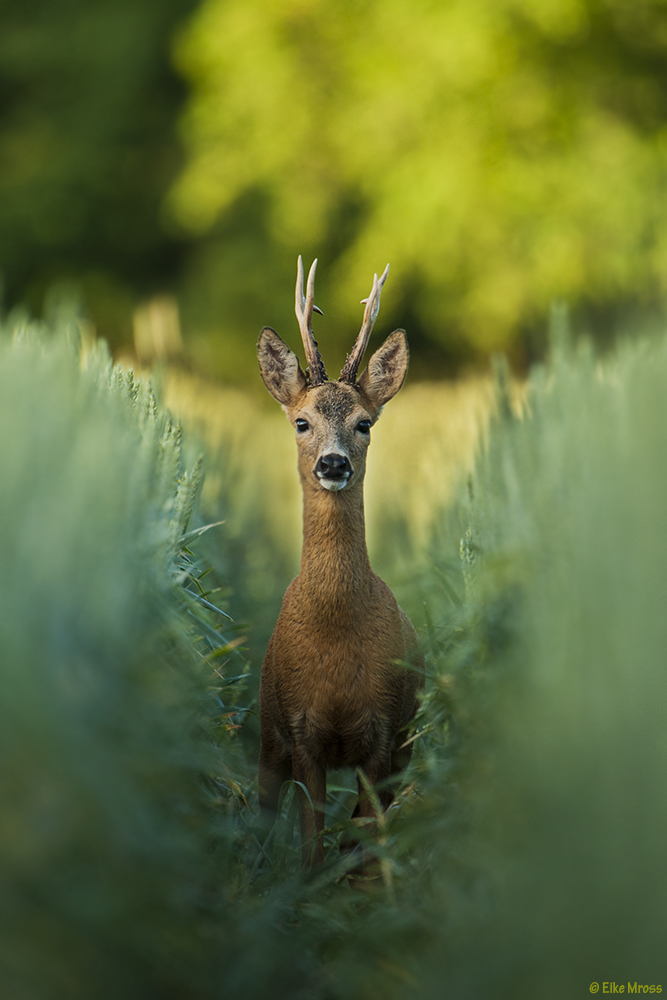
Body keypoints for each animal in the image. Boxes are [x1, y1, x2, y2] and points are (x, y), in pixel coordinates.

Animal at [256, 256, 422, 868]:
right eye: (301, 421)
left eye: (365, 423)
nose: (333, 463)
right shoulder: (300, 732)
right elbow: (310, 843)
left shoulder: (384, 734)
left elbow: (369, 839)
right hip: (265, 732)